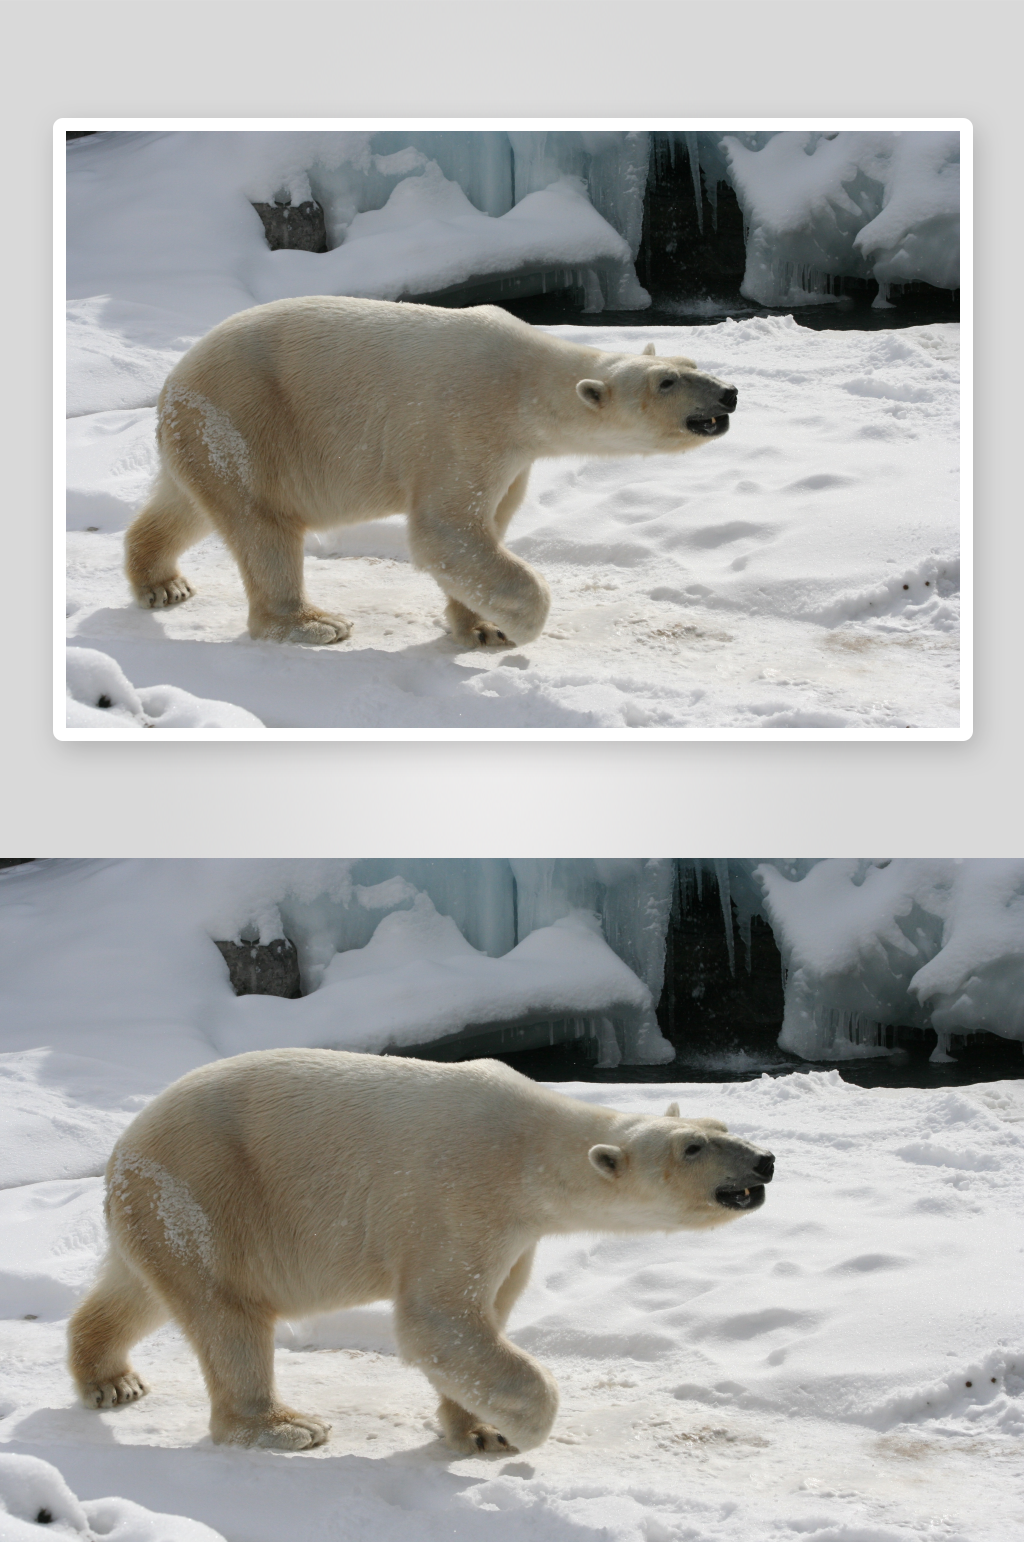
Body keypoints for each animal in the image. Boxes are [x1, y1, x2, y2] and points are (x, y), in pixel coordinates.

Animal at [68, 1048, 774, 1455]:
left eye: (720, 1127)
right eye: (692, 1147)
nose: (764, 1160)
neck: (529, 1148)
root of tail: (122, 1150)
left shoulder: (515, 1232)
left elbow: (486, 1315)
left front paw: (479, 1428)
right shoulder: (460, 1194)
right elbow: (439, 1319)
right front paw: (521, 1429)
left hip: (161, 1211)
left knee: (138, 1290)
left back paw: (112, 1379)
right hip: (208, 1193)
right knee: (227, 1314)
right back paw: (286, 1427)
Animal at [124, 296, 737, 648]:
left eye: (691, 364)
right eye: (666, 382)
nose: (728, 393)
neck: (525, 382)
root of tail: (172, 383)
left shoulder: (512, 455)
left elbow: (487, 527)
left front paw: (481, 625)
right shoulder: (464, 423)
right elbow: (446, 531)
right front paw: (518, 626)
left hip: (205, 436)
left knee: (186, 506)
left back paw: (163, 583)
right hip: (245, 421)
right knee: (262, 527)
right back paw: (313, 624)